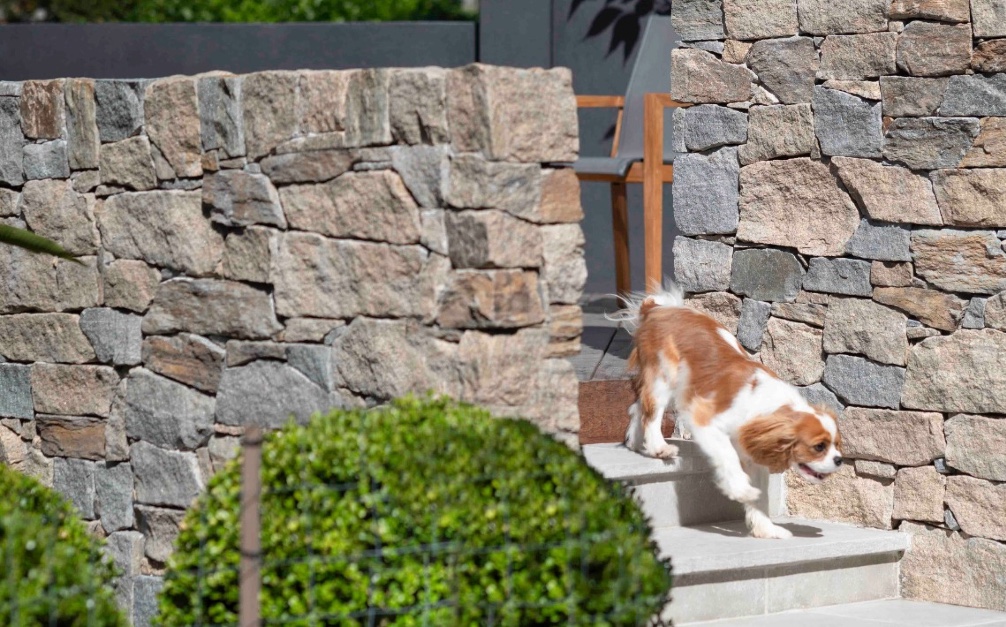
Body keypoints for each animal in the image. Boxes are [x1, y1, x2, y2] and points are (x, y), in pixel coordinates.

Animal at [607, 283, 845, 539]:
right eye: (819, 447)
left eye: (837, 445)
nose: (839, 460)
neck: (767, 407)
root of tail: (658, 308)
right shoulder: (706, 421)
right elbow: (728, 456)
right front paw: (741, 490)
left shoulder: (754, 452)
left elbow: (762, 496)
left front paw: (766, 529)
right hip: (664, 376)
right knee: (652, 413)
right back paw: (658, 447)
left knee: (638, 406)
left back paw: (634, 441)